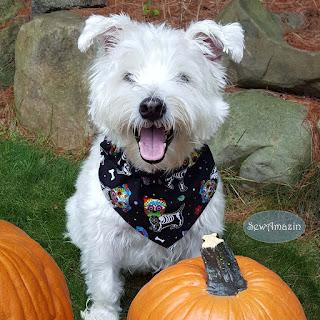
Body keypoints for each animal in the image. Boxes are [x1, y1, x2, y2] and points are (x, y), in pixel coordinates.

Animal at [66, 13, 244, 318]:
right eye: (128, 76)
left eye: (183, 77)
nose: (151, 106)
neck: (155, 181)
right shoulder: (103, 240)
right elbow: (104, 283)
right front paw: (103, 312)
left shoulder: (198, 239)